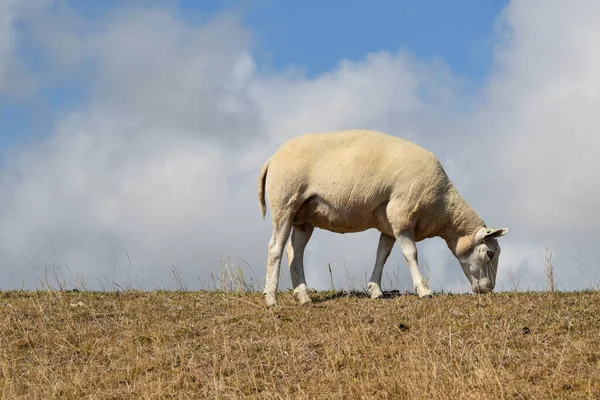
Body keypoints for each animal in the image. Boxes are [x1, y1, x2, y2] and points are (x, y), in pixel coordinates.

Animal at [258, 129, 506, 306]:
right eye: (490, 253)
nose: (488, 289)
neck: (443, 207)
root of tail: (272, 158)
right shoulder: (401, 214)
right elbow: (411, 253)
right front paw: (423, 290)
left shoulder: (389, 224)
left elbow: (382, 255)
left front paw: (375, 290)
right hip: (284, 203)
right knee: (275, 247)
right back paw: (271, 298)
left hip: (304, 217)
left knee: (295, 252)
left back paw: (303, 296)